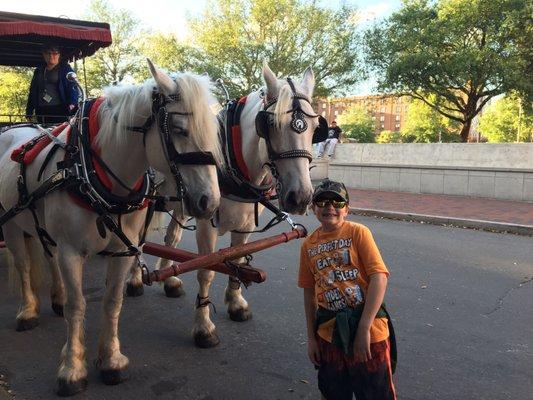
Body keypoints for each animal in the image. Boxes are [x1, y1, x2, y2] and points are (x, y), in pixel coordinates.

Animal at [0, 61, 222, 396]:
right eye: (179, 129)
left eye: (214, 130)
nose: (210, 202)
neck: (90, 170)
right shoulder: (70, 251)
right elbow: (77, 306)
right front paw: (72, 368)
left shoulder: (122, 250)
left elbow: (113, 301)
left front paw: (111, 359)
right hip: (11, 224)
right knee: (24, 266)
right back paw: (28, 310)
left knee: (48, 258)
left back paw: (56, 296)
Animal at [128, 62, 324, 346]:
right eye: (270, 124)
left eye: (314, 126)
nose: (301, 197)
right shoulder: (206, 223)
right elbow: (206, 269)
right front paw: (204, 326)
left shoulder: (244, 223)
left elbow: (238, 258)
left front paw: (235, 302)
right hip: (147, 202)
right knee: (138, 241)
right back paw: (134, 279)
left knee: (171, 238)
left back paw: (170, 278)